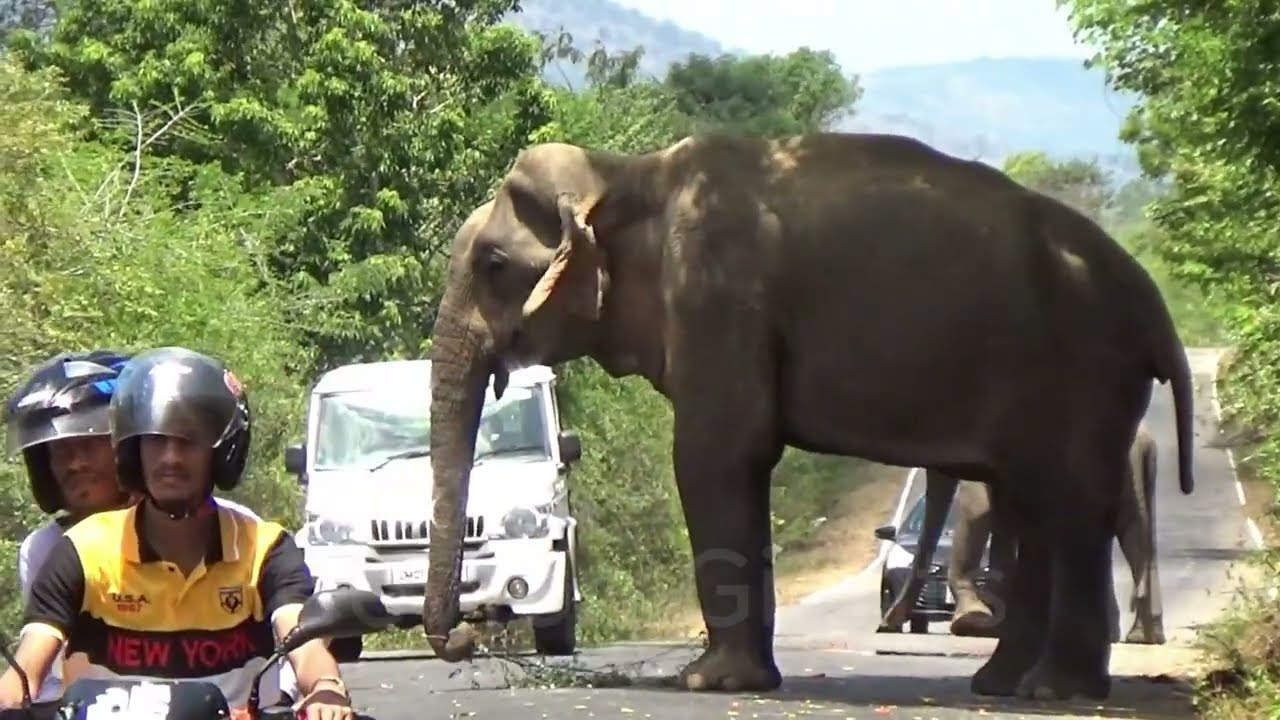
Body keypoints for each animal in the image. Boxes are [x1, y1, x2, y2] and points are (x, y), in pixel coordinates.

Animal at [879, 422, 1165, 645]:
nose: (885, 625)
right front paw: (994, 624)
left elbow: (978, 508)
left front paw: (972, 622)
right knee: (1137, 533)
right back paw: (1140, 636)